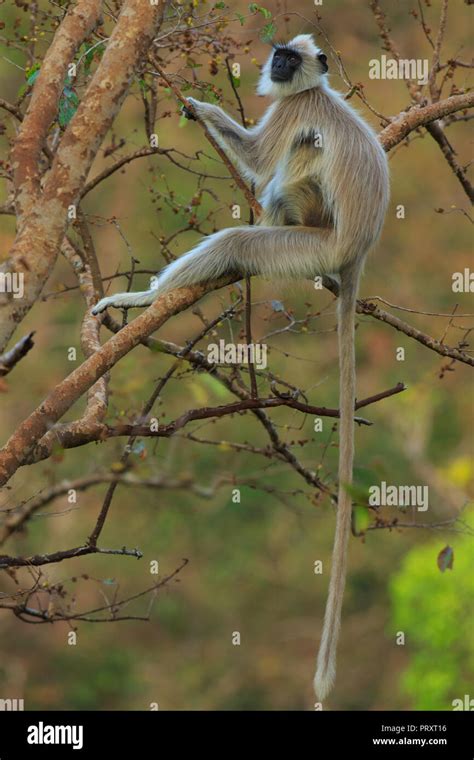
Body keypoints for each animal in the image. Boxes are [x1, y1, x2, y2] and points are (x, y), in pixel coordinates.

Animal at [92, 34, 388, 700]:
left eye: (288, 61)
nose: (275, 66)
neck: (314, 91)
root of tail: (355, 253)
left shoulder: (293, 109)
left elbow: (257, 157)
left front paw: (201, 108)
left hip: (308, 244)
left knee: (256, 219)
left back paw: (145, 299)